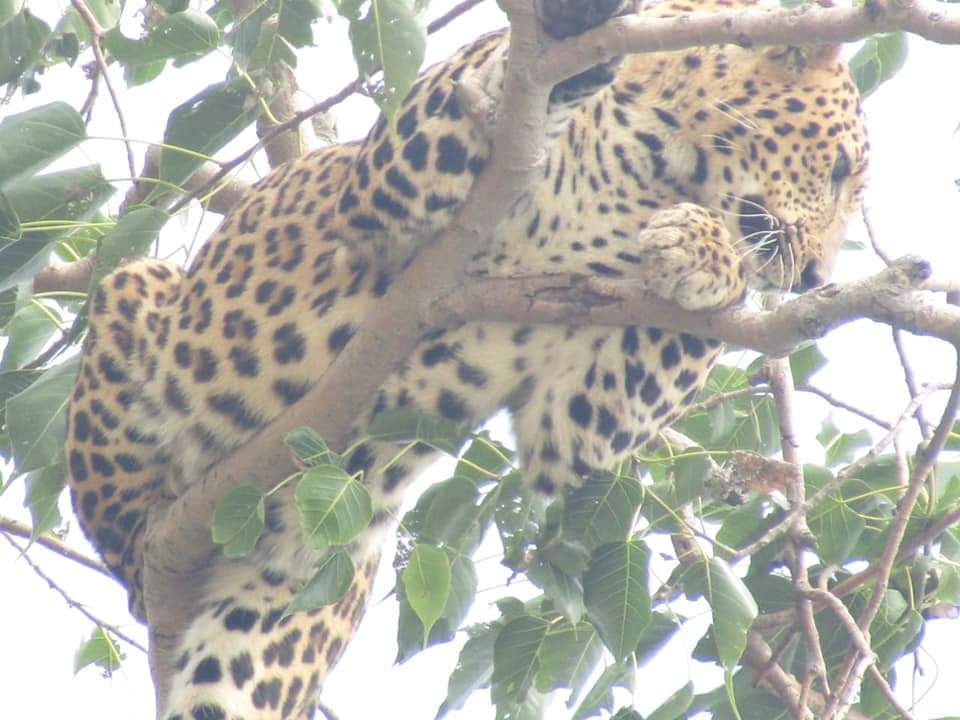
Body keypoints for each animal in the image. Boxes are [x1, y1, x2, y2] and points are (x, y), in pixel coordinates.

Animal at [64, 0, 869, 718]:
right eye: (837, 169)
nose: (816, 278)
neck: (659, 167)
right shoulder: (387, 189)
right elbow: (489, 91)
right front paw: (574, 36)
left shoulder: (576, 414)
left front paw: (702, 252)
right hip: (137, 288)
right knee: (123, 522)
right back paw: (145, 535)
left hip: (290, 614)